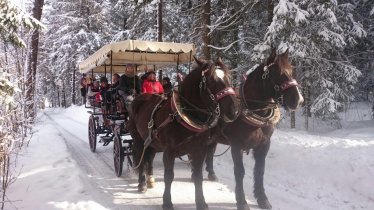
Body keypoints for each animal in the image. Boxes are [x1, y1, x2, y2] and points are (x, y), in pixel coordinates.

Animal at [128, 56, 240, 210]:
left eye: (229, 77)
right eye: (211, 80)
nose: (233, 110)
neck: (183, 115)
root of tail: (138, 98)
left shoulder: (199, 150)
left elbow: (198, 177)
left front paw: (201, 202)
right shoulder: (169, 151)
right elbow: (169, 176)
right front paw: (167, 202)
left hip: (151, 141)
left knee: (149, 158)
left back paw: (150, 179)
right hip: (139, 139)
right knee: (141, 158)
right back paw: (142, 183)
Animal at [202, 48, 304, 210]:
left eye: (291, 71)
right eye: (277, 73)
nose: (298, 100)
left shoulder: (264, 145)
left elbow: (260, 171)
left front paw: (262, 199)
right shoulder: (236, 146)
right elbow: (240, 172)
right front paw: (242, 201)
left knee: (210, 151)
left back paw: (211, 173)